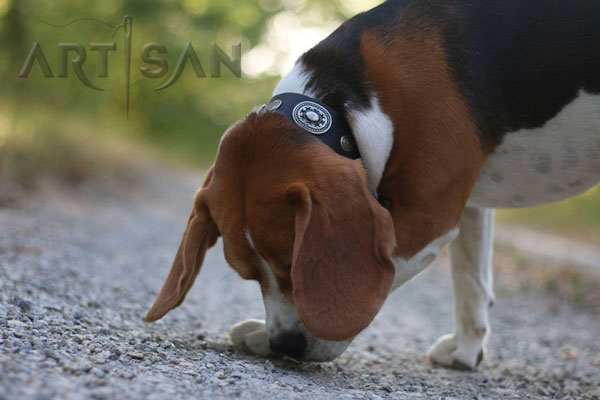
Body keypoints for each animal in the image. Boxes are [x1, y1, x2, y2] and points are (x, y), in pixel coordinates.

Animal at [145, 0, 600, 368]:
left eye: (295, 266)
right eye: (249, 274)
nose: (286, 345)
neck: (344, 100)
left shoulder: (426, 216)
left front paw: (282, 336)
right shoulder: (466, 201)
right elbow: (470, 278)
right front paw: (467, 351)